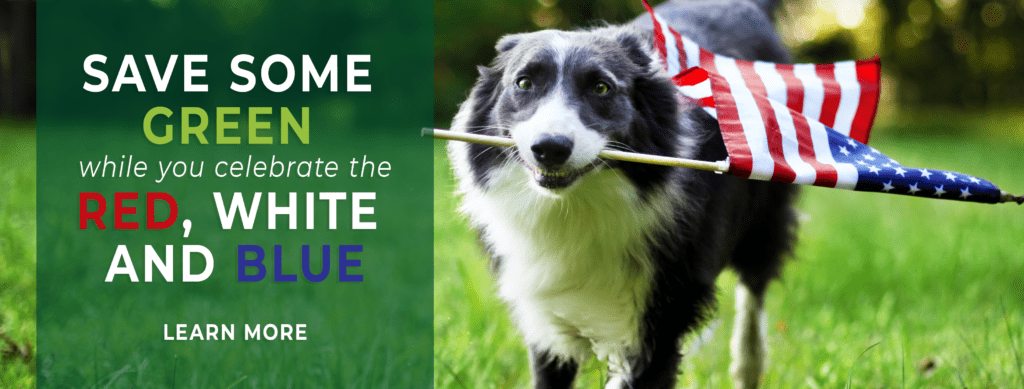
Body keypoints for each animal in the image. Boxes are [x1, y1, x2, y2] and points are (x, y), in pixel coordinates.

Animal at [450, 1, 798, 386]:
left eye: (601, 88)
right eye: (523, 83)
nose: (550, 148)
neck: (575, 209)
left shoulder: (659, 316)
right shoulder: (545, 320)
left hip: (764, 218)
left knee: (754, 290)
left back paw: (748, 366)